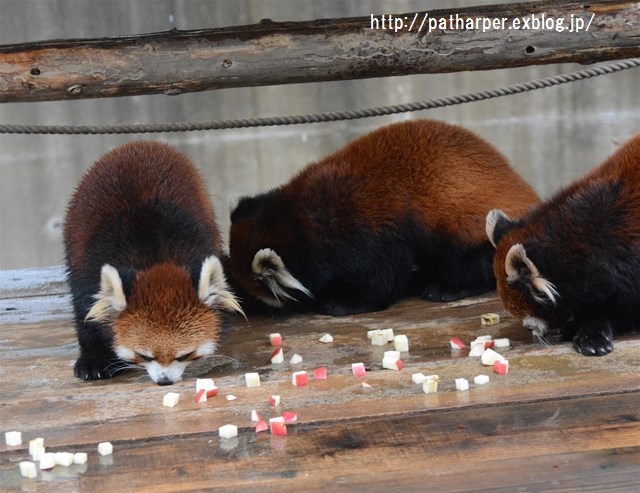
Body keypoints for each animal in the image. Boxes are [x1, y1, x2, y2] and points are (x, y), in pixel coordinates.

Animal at [63, 142, 242, 384]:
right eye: (144, 355)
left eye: (184, 355)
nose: (164, 380)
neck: (155, 258)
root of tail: (138, 144)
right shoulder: (89, 268)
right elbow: (85, 311)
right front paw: (95, 359)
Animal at [230, 118, 540, 316]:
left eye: (261, 297)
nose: (249, 306)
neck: (296, 222)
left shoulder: (362, 230)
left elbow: (382, 277)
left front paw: (345, 303)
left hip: (468, 228)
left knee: (465, 262)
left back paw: (447, 287)